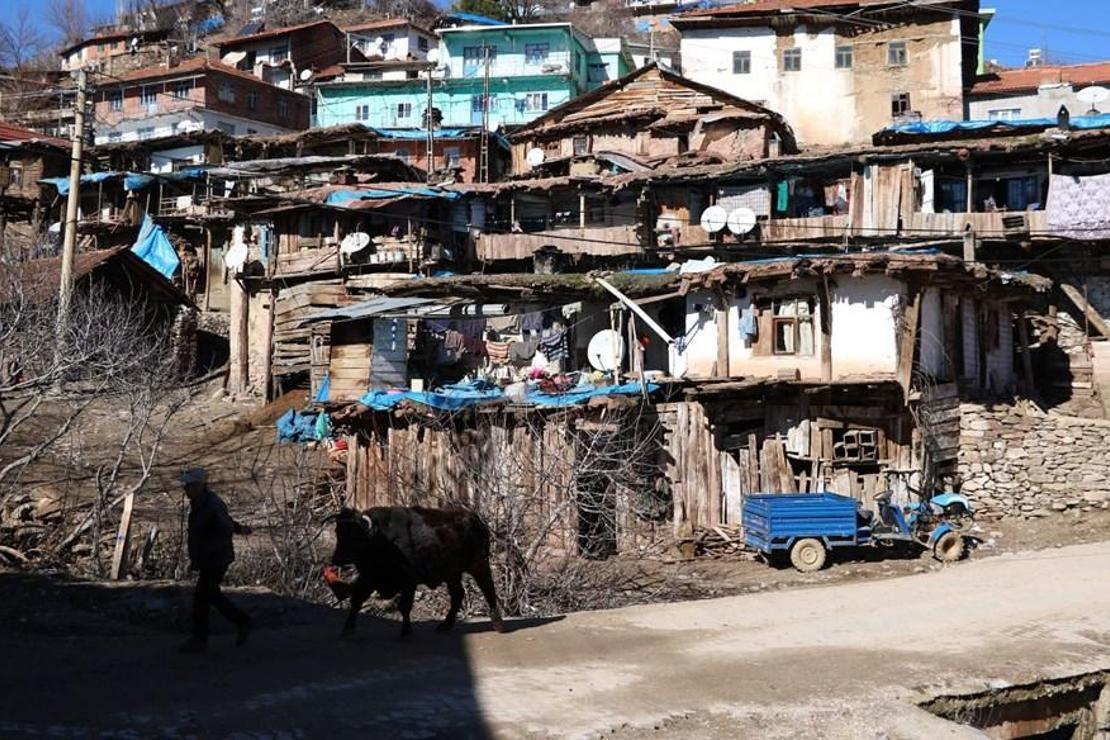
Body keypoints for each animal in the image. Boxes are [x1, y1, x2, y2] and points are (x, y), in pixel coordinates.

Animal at [324, 505, 506, 639]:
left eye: (355, 535)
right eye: (338, 532)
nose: (337, 559)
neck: (380, 538)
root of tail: (476, 520)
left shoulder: (408, 582)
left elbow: (404, 606)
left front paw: (406, 632)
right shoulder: (368, 578)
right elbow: (356, 601)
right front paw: (347, 630)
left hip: (478, 565)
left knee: (488, 589)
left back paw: (498, 624)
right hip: (452, 574)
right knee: (458, 594)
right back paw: (445, 625)